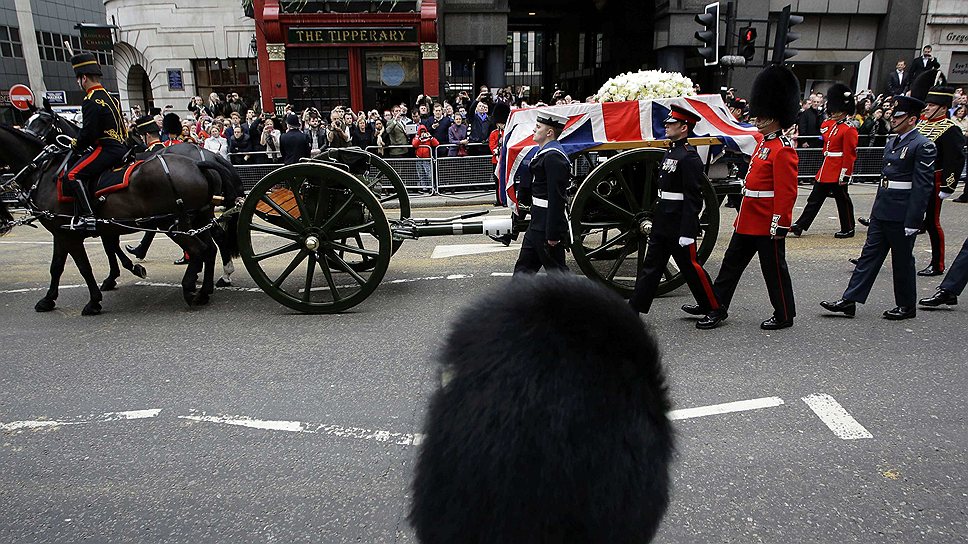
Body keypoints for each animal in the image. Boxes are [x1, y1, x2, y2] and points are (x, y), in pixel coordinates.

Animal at [0, 121, 229, 312]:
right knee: (210, 247)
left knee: (200, 249)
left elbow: (84, 266)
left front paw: (94, 300)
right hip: (196, 218)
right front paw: (49, 299)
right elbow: (59, 265)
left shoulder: (70, 234)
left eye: (42, 121)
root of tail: (198, 163)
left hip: (173, 223)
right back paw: (206, 289)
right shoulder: (73, 231)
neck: (45, 173)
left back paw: (191, 288)